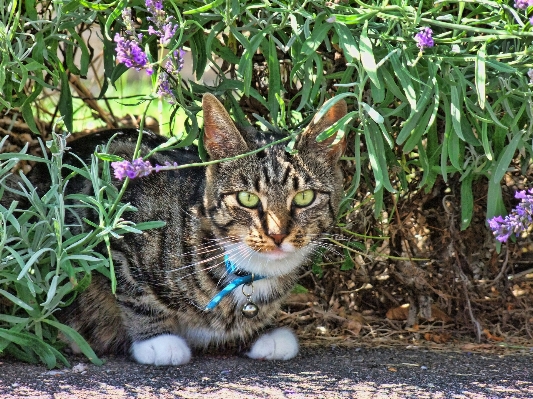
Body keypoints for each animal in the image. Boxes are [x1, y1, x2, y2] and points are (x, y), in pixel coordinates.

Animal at [34, 94, 344, 366]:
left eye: (304, 198)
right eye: (247, 198)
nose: (277, 235)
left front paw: (261, 332)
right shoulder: (117, 216)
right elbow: (132, 288)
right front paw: (156, 340)